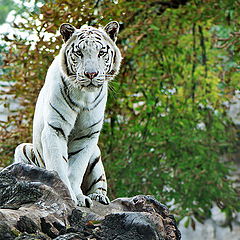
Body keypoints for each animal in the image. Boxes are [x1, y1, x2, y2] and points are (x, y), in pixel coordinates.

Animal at [14, 21, 122, 207]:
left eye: (101, 52)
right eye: (79, 53)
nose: (91, 74)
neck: (84, 96)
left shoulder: (87, 135)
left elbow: (76, 170)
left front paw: (79, 197)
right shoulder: (55, 129)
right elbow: (59, 165)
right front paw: (66, 195)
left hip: (96, 154)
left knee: (100, 183)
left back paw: (98, 197)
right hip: (23, 149)